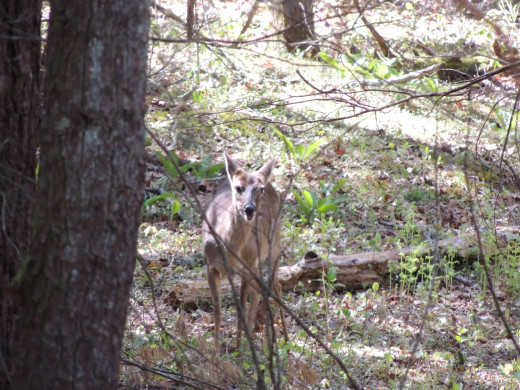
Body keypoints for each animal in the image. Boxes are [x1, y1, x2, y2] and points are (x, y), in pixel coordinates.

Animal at [202, 153, 288, 350]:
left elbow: (250, 300)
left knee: (275, 286)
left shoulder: (248, 264)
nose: (249, 209)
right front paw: (216, 352)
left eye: (260, 189)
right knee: (250, 294)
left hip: (274, 245)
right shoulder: (210, 265)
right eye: (238, 187)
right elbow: (218, 310)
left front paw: (247, 348)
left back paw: (283, 341)